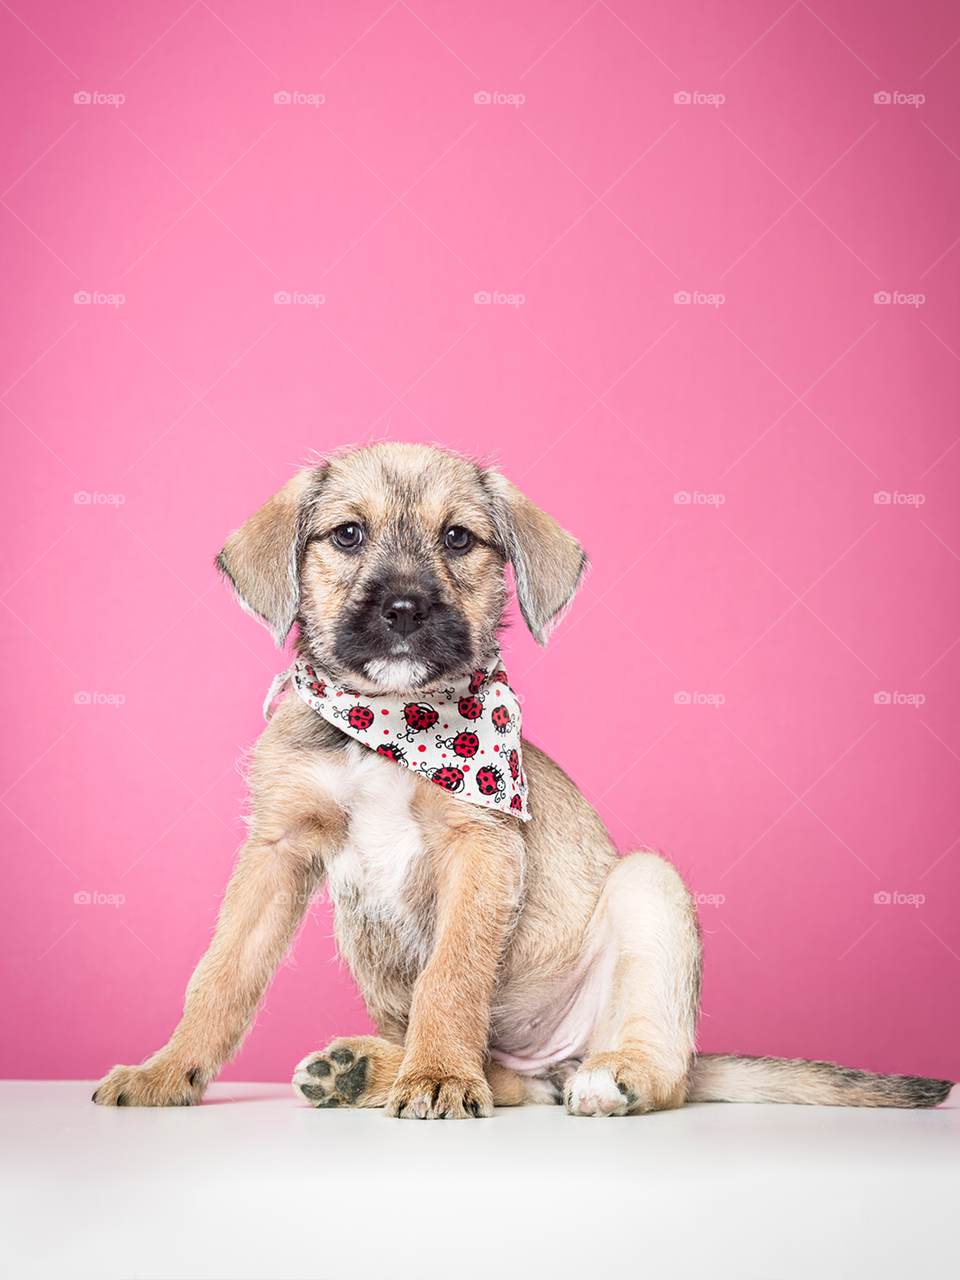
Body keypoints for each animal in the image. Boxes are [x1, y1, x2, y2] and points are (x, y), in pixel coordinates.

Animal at [94, 445, 952, 1116]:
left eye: (458, 538)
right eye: (347, 534)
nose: (404, 609)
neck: (389, 729)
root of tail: (563, 1060)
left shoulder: (479, 847)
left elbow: (451, 978)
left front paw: (438, 1076)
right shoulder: (279, 848)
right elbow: (221, 976)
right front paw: (167, 1071)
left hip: (650, 889)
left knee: (662, 1069)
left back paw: (610, 1077)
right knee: (515, 1082)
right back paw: (366, 1070)